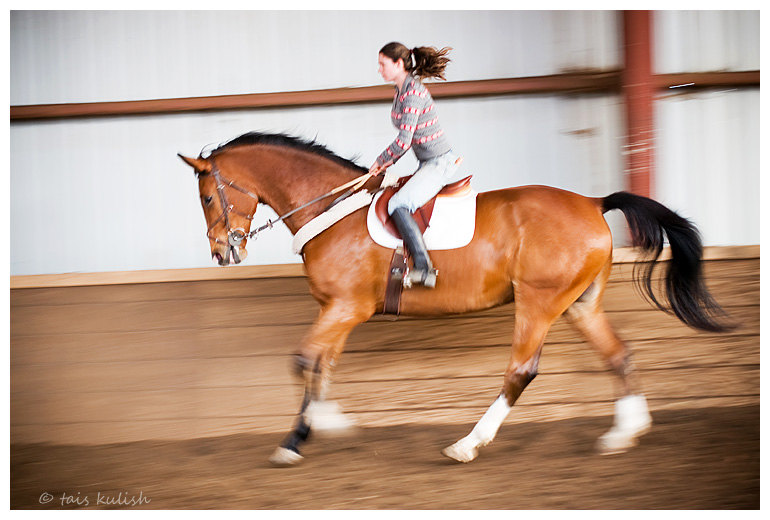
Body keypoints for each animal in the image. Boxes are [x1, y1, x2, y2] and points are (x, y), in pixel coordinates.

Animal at [177, 132, 728, 466]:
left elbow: (302, 359)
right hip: (580, 304)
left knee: (520, 371)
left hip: (539, 302)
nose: (222, 253)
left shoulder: (345, 308)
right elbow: (323, 364)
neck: (332, 211)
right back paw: (624, 433)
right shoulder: (336, 311)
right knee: (619, 354)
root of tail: (593, 203)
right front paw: (326, 423)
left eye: (205, 197)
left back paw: (467, 444)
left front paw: (299, 439)